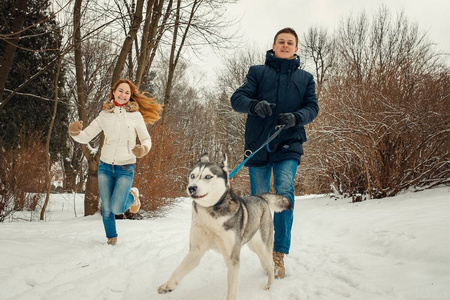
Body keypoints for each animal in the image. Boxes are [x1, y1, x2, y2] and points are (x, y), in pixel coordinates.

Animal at [158, 154, 292, 300]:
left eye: (208, 176)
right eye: (192, 176)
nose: (191, 188)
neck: (211, 212)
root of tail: (260, 198)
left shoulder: (232, 258)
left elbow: (232, 290)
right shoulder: (196, 250)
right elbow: (178, 269)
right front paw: (169, 285)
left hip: (262, 245)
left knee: (271, 263)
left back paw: (269, 284)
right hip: (253, 245)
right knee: (265, 262)